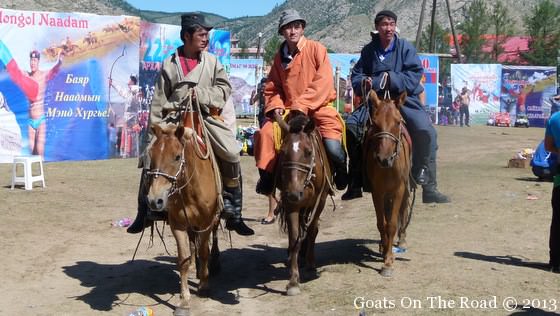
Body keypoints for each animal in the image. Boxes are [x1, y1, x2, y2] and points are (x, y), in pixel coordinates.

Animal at [145, 123, 220, 316]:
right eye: (151, 155)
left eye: (177, 156)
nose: (154, 200)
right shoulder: (178, 225)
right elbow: (183, 259)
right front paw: (184, 299)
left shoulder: (206, 223)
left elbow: (204, 252)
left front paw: (204, 285)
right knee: (193, 243)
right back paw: (195, 266)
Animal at [276, 113, 332, 296]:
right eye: (282, 152)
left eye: (308, 152)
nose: (294, 193)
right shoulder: (291, 205)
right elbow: (294, 237)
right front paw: (293, 281)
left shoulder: (320, 202)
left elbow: (313, 230)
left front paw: (310, 263)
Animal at [366, 90, 414, 276]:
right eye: (375, 123)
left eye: (398, 121)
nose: (383, 159)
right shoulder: (377, 191)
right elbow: (382, 223)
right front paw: (384, 249)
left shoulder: (399, 190)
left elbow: (392, 224)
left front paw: (388, 261)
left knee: (403, 210)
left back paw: (402, 240)